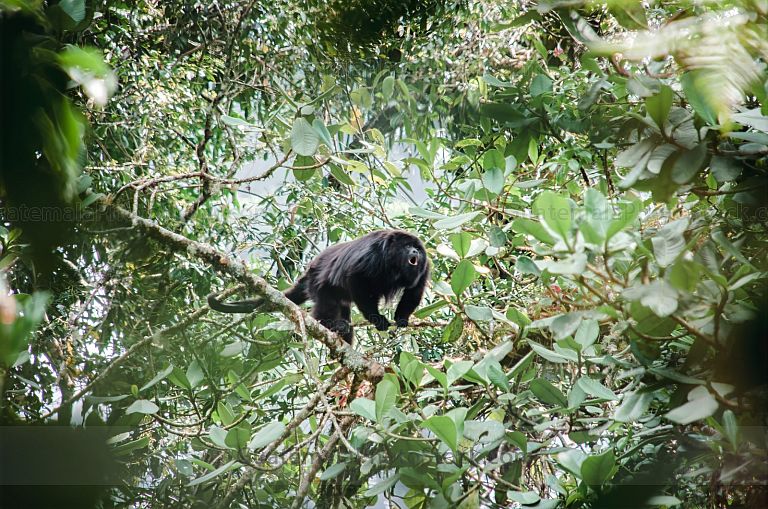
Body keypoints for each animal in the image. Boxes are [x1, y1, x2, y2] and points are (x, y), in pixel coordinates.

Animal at [208, 230, 429, 343]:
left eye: (417, 248)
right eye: (407, 246)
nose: (415, 252)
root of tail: (310, 270)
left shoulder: (425, 266)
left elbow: (414, 291)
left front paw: (401, 318)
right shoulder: (373, 255)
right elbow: (356, 279)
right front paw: (377, 318)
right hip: (318, 283)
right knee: (326, 304)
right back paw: (327, 324)